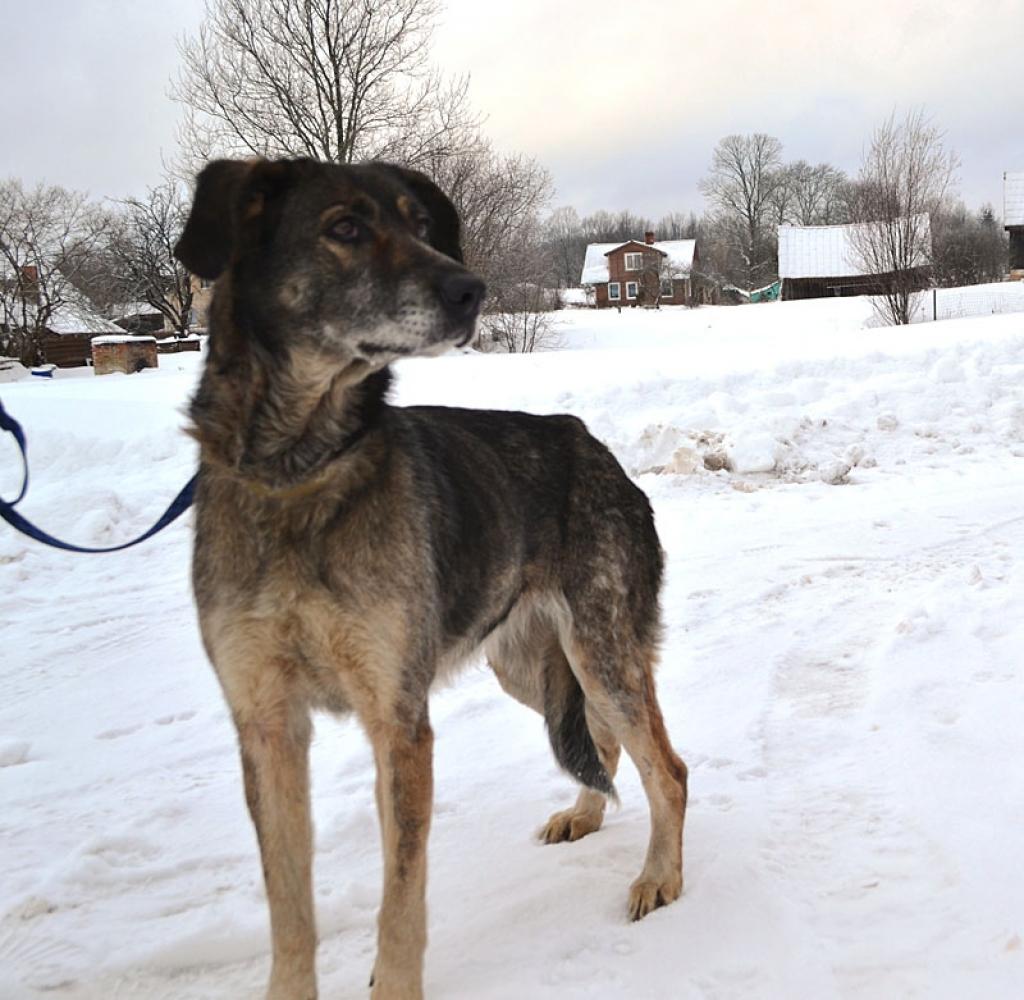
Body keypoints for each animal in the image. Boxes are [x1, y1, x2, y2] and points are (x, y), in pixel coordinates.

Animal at [174, 157, 688, 998]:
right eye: (345, 227)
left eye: (420, 224)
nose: (471, 290)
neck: (298, 469)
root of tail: (594, 447)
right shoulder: (267, 726)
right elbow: (289, 908)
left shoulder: (399, 722)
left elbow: (401, 897)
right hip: (530, 666)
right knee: (607, 743)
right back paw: (585, 813)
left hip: (600, 652)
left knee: (666, 769)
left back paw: (660, 878)